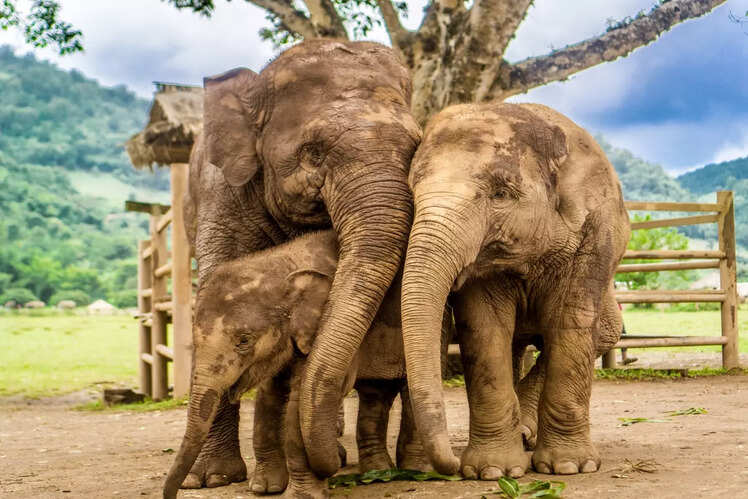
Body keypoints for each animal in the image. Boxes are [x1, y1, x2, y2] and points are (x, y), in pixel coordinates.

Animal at [163, 230, 437, 498]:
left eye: (244, 340)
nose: (175, 494)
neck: (281, 264)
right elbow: (269, 394)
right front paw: (264, 488)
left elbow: (300, 396)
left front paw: (303, 494)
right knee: (376, 392)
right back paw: (377, 470)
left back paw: (412, 469)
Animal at [399, 103, 631, 478]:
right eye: (412, 194)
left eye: (501, 194)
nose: (449, 465)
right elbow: (485, 328)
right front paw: (493, 472)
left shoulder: (596, 235)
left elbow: (570, 322)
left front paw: (570, 467)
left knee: (602, 333)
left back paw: (528, 434)